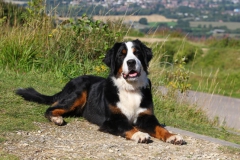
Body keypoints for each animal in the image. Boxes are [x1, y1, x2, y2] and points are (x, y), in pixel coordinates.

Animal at [16, 39, 184, 145]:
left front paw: (173, 136)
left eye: (137, 53)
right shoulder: (113, 119)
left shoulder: (146, 117)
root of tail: (70, 82)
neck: (130, 89)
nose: (131, 62)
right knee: (51, 108)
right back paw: (57, 118)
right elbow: (128, 126)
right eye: (121, 54)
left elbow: (160, 128)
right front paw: (140, 134)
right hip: (78, 93)